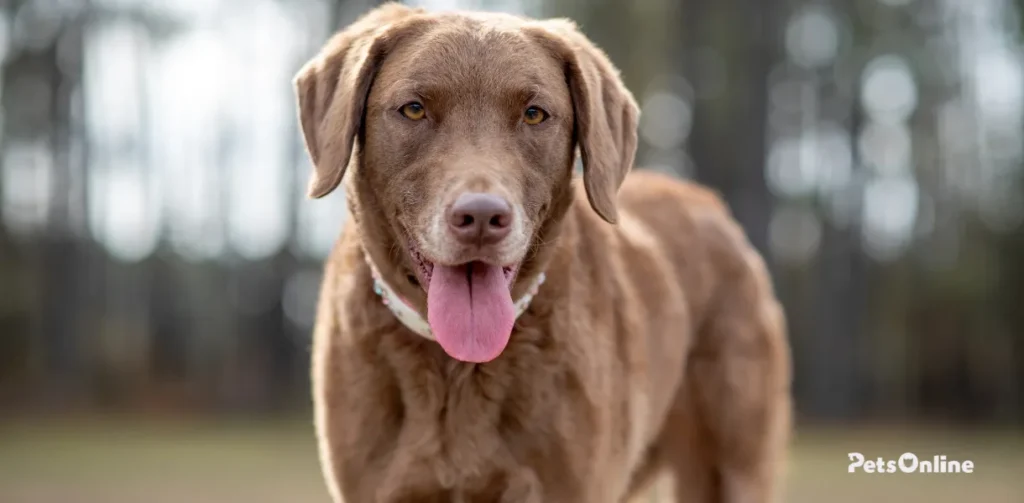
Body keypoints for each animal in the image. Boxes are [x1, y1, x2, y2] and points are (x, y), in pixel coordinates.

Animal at [296, 4, 790, 503]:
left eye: (534, 114)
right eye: (414, 109)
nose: (481, 217)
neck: (458, 367)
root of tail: (712, 204)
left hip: (731, 462)